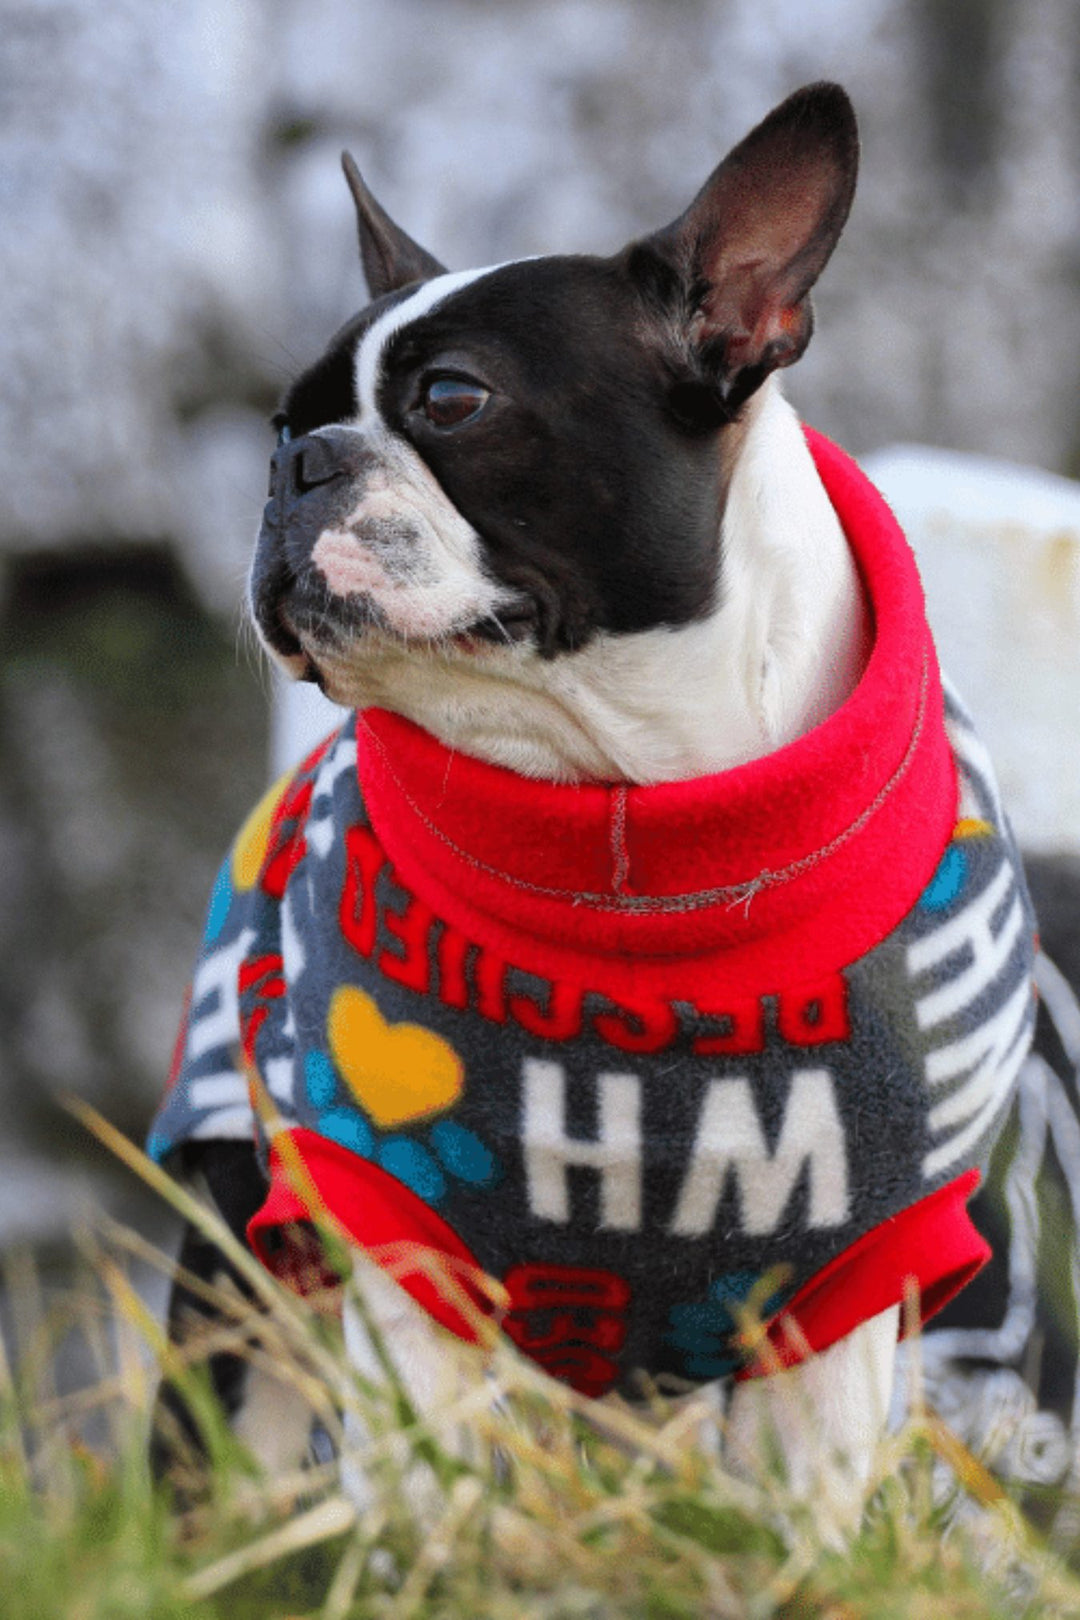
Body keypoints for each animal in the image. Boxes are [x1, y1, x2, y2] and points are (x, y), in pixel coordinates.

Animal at [152, 82, 1036, 1522]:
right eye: (283, 424)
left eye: (452, 398)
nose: (297, 466)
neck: (632, 804)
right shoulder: (394, 1230)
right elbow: (430, 1482)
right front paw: (434, 1556)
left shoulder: (836, 1286)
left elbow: (803, 1499)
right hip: (243, 1239)